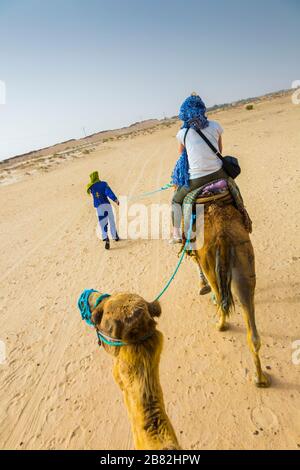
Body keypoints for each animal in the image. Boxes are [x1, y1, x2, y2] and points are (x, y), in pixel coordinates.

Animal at [189, 196, 270, 388]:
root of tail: (222, 234)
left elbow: (196, 265)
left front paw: (202, 287)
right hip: (244, 259)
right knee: (253, 332)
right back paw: (260, 379)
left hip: (210, 261)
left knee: (221, 299)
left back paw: (220, 325)